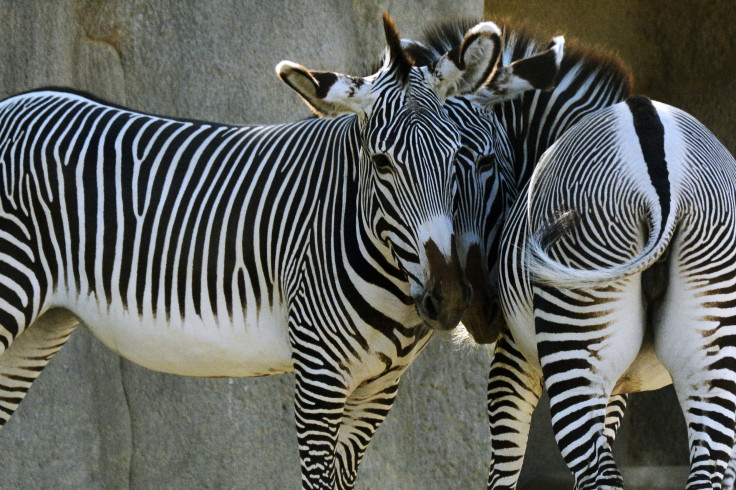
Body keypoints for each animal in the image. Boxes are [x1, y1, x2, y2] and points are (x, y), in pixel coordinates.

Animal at [0, 15, 504, 490]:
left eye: (457, 157)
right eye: (382, 163)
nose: (449, 299)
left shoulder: (378, 389)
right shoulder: (319, 375)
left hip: (41, 325)